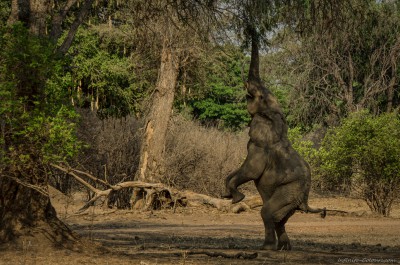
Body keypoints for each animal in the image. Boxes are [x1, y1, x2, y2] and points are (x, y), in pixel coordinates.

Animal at [222, 77, 324, 250]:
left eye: (260, 97)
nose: (246, 89)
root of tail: (306, 201)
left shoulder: (261, 148)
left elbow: (251, 171)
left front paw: (237, 198)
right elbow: (241, 171)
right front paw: (227, 195)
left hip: (291, 189)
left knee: (268, 212)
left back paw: (267, 248)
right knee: (280, 218)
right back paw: (283, 248)